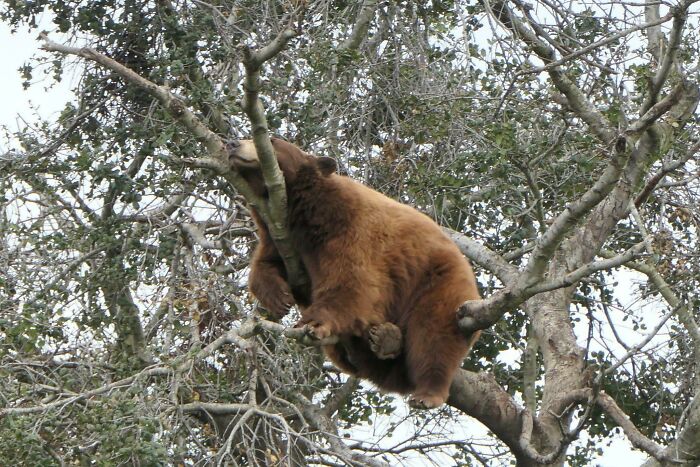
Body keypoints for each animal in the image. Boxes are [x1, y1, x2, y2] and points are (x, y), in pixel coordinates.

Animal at [228, 137, 481, 408]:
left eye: (272, 140)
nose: (233, 143)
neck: (303, 212)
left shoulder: (349, 229)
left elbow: (351, 283)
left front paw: (313, 322)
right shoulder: (280, 237)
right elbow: (265, 264)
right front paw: (278, 297)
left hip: (438, 280)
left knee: (434, 333)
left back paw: (427, 392)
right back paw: (385, 339)